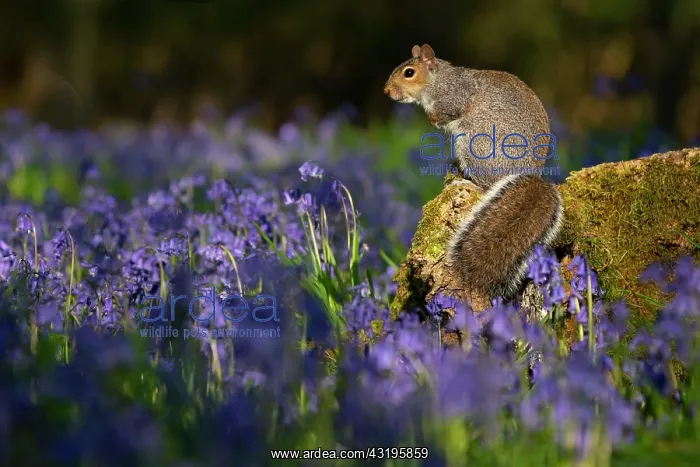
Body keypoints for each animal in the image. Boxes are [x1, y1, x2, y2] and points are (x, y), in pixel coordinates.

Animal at [384, 44, 564, 301]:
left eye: (409, 73)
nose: (387, 91)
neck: (438, 80)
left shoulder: (454, 98)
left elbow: (451, 111)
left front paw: (433, 120)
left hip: (473, 145)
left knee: (485, 184)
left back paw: (465, 183)